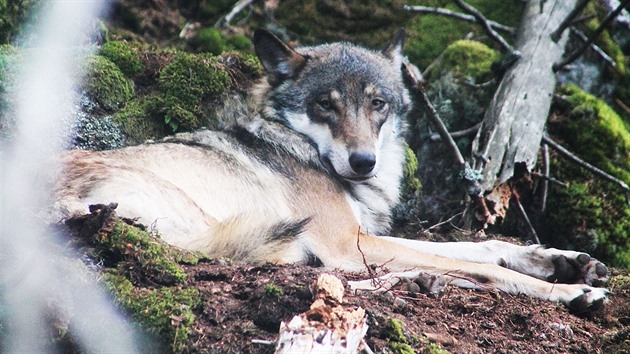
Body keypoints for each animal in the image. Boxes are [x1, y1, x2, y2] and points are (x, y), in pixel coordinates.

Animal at [55, 31, 612, 312]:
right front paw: (568, 291)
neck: (301, 145)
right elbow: (483, 265)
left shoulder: (362, 235)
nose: (363, 162)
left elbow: (483, 247)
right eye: (326, 105)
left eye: (378, 104)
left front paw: (562, 261)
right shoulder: (349, 241)